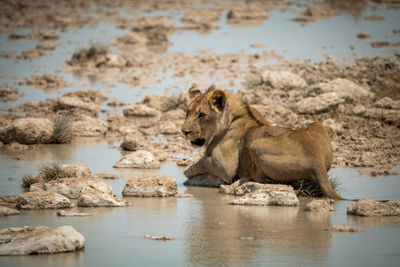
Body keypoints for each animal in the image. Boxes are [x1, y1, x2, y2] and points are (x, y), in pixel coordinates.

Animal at [181, 85, 344, 200]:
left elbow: (197, 165)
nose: (184, 131)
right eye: (187, 112)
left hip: (255, 145)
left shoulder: (225, 166)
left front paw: (190, 174)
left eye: (201, 115)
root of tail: (316, 160)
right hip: (318, 124)